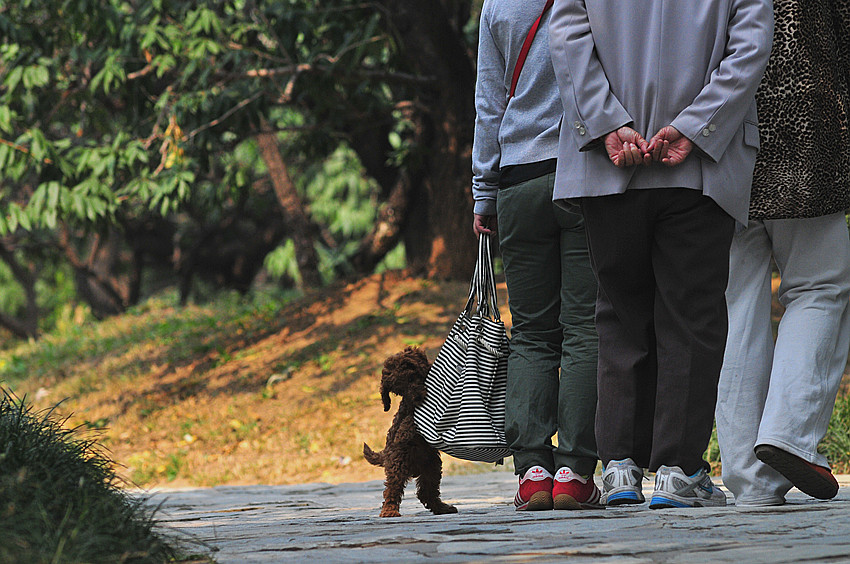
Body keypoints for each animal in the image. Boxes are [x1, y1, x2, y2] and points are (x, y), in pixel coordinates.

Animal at [362, 346, 458, 516]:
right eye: (400, 390)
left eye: (412, 377)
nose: (417, 398)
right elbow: (410, 421)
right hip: (398, 464)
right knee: (392, 490)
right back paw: (389, 511)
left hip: (432, 466)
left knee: (426, 492)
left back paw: (443, 508)